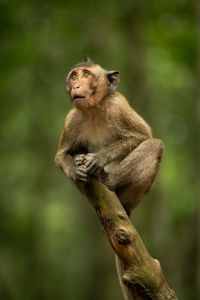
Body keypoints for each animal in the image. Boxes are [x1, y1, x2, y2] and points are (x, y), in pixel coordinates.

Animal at [55, 56, 164, 216]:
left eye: (86, 74)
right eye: (74, 77)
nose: (76, 86)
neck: (93, 111)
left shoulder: (118, 106)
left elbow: (142, 136)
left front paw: (99, 158)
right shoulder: (71, 120)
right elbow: (62, 154)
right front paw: (74, 169)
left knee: (155, 145)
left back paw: (107, 179)